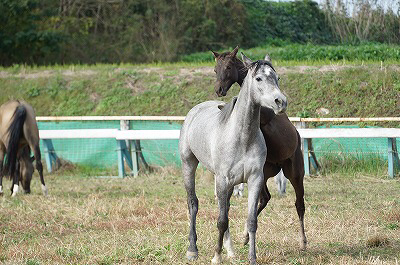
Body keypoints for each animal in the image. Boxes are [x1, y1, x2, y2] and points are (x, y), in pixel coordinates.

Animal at [179, 52, 288, 262]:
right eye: (258, 78)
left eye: (277, 78)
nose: (281, 102)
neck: (242, 137)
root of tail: (195, 111)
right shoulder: (223, 180)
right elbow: (221, 220)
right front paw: (216, 257)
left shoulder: (254, 179)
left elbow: (251, 220)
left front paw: (251, 258)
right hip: (189, 165)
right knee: (193, 203)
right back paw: (192, 249)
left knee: (225, 207)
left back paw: (230, 250)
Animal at [211, 47, 308, 250]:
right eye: (216, 69)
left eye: (229, 66)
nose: (219, 90)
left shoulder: (265, 116)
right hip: (263, 172)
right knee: (265, 198)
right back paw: (245, 235)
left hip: (295, 173)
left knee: (299, 204)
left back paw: (303, 241)